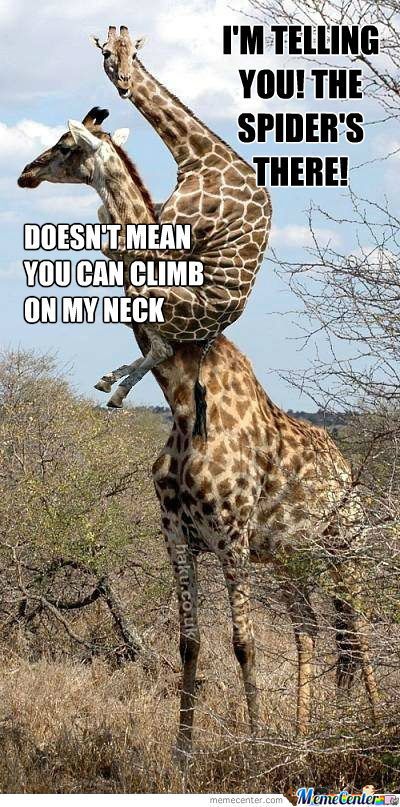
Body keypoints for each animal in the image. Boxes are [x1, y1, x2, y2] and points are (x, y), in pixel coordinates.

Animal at [18, 112, 379, 757]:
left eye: (64, 146)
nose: (24, 174)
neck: (183, 401)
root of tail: (347, 474)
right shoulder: (177, 536)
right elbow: (190, 643)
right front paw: (184, 750)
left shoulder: (231, 537)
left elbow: (244, 643)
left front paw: (256, 747)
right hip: (290, 561)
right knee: (314, 632)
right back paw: (308, 737)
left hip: (346, 553)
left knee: (357, 635)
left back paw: (366, 726)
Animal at [90, 25, 271, 415]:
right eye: (107, 53)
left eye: (134, 55)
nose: (125, 84)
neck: (197, 157)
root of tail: (213, 333)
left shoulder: (171, 235)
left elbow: (113, 246)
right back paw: (110, 382)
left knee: (162, 343)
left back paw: (116, 388)